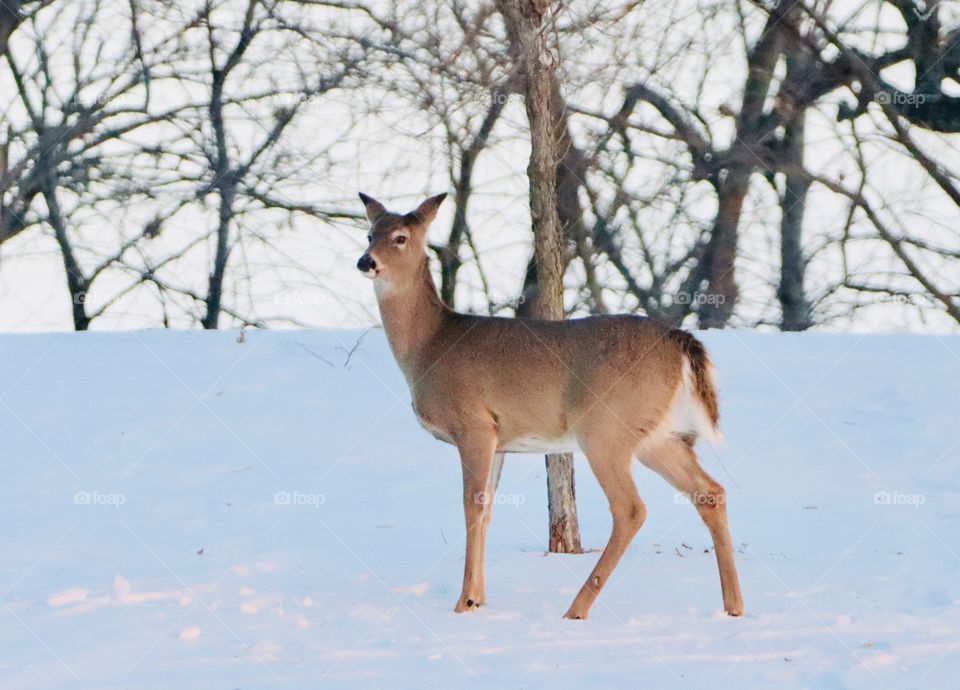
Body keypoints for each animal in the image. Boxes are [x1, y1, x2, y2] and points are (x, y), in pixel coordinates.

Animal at [355, 192, 744, 620]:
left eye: (401, 237)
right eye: (370, 233)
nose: (366, 261)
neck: (429, 345)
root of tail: (680, 340)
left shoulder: (474, 424)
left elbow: (471, 507)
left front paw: (464, 602)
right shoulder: (501, 439)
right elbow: (488, 511)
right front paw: (478, 598)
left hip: (604, 427)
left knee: (631, 508)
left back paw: (577, 608)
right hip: (654, 435)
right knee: (710, 492)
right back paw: (734, 606)